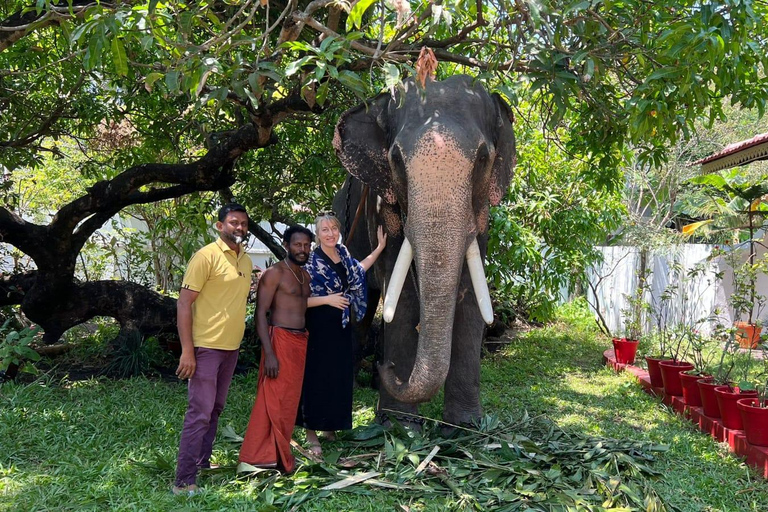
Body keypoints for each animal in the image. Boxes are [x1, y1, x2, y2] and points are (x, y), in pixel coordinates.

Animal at [330, 74, 516, 426]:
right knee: (360, 310)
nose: (385, 367)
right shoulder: (382, 211)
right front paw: (398, 426)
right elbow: (401, 301)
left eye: (483, 158)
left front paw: (464, 428)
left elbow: (472, 297)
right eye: (395, 160)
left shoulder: (481, 218)